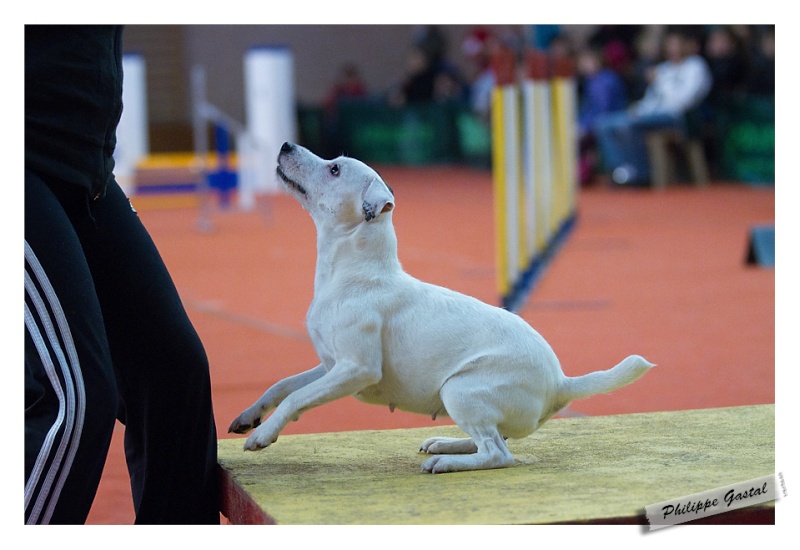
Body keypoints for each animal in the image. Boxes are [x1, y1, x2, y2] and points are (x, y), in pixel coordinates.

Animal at [228, 142, 652, 474]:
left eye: (334, 169)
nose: (286, 145)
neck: (349, 271)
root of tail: (560, 381)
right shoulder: (331, 365)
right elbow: (284, 386)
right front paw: (250, 417)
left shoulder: (355, 369)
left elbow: (296, 397)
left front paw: (263, 434)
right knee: (495, 441)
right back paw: (446, 444)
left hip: (459, 389)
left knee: (497, 453)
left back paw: (446, 462)